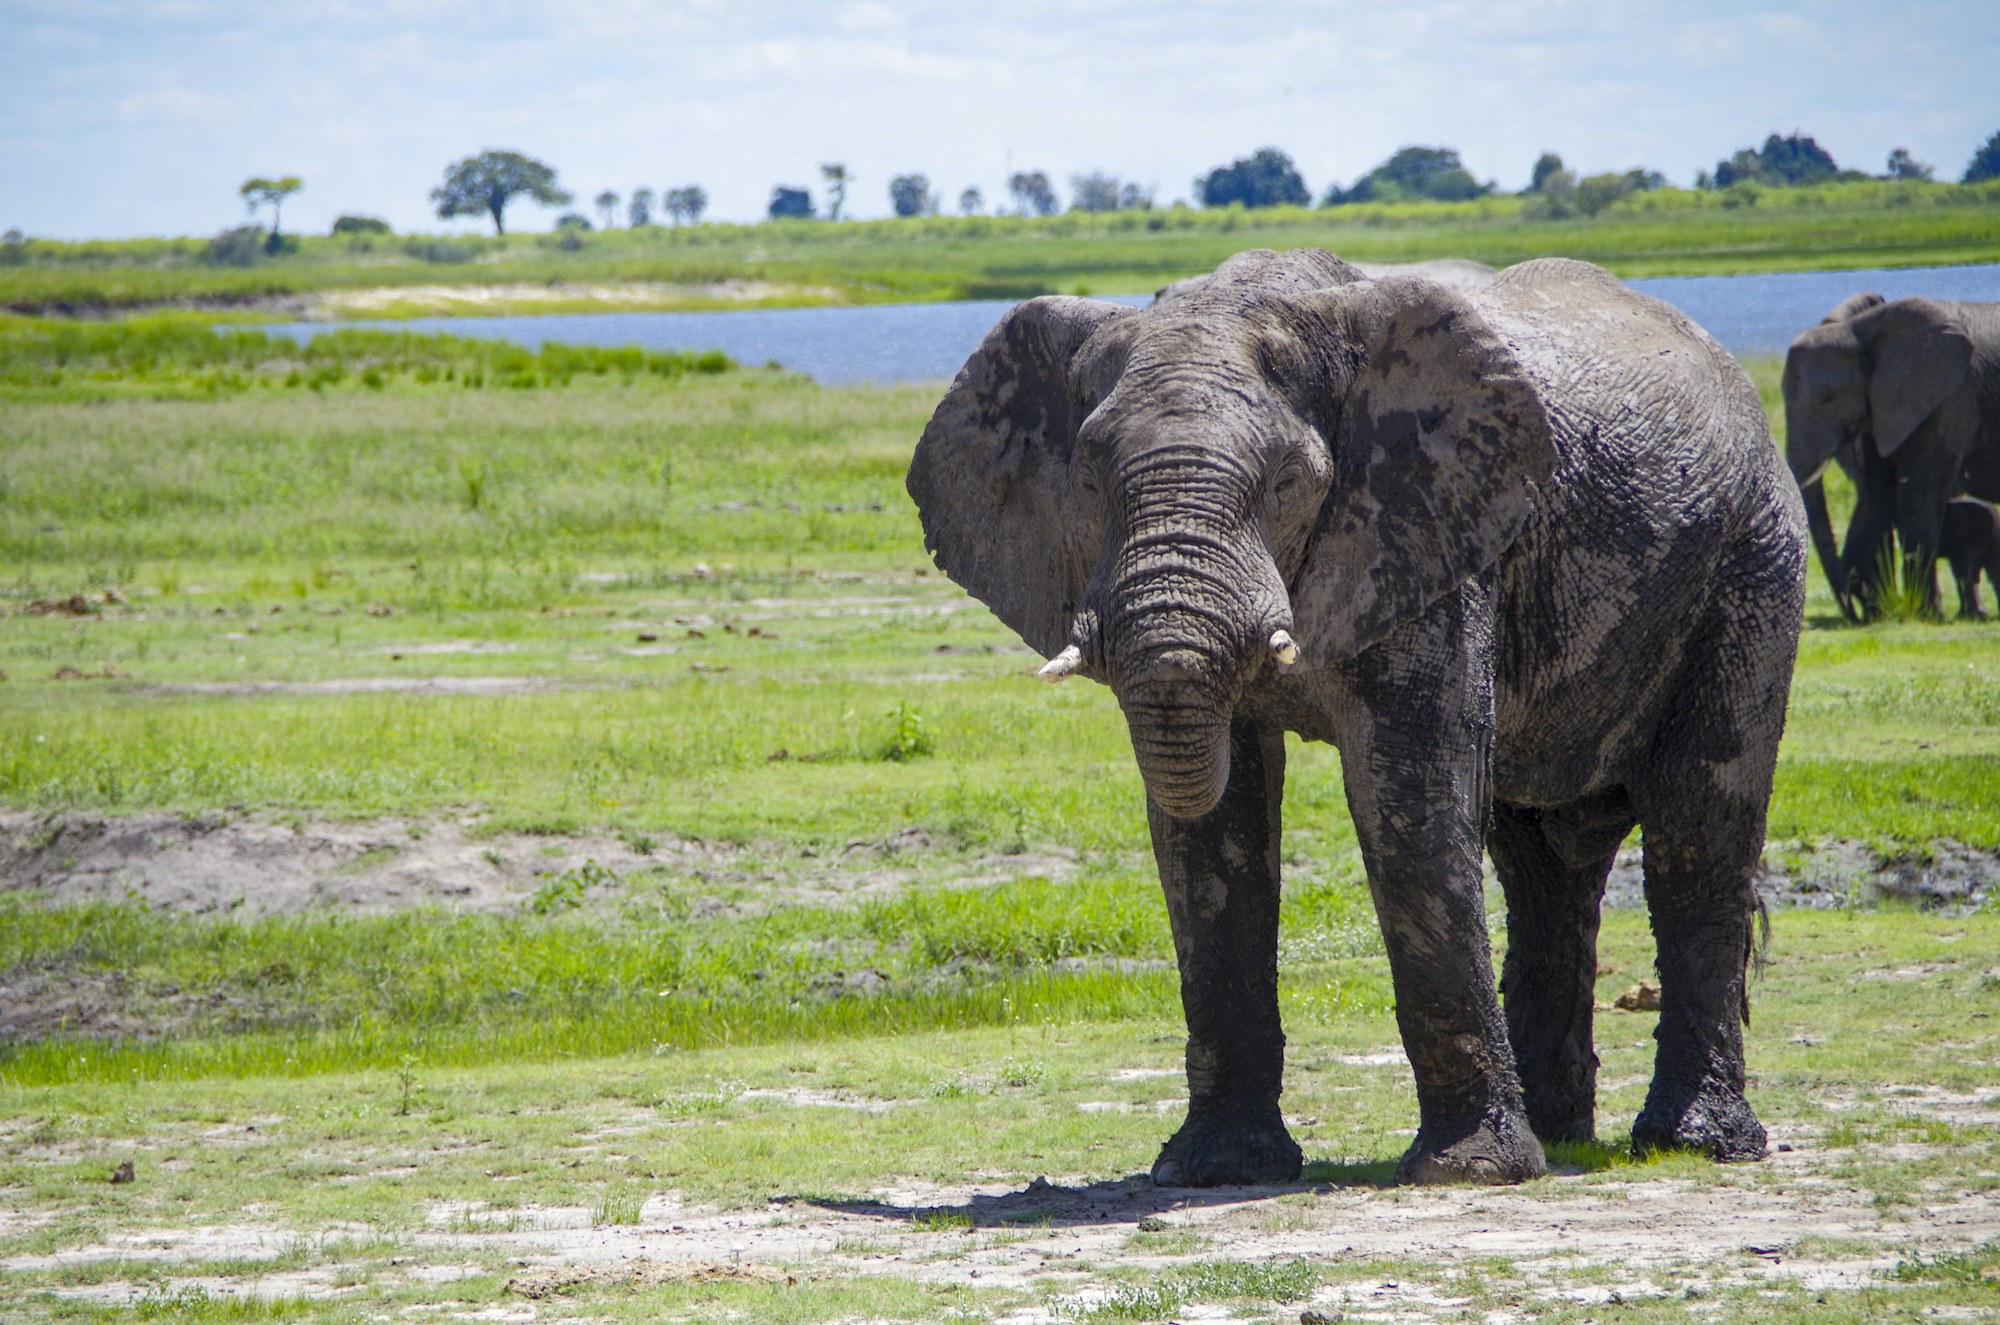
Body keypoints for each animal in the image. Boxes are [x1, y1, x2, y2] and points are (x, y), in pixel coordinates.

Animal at [908, 248, 1806, 1188]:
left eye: (1286, 482)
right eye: (1086, 480)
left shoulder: (1431, 531)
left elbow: (1409, 806)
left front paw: (1466, 1172)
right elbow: (1213, 835)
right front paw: (1217, 1170)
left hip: (1750, 563)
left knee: (1700, 822)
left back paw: (1690, 1143)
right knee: (1545, 859)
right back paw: (1560, 1138)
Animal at [1783, 292, 2000, 619]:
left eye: (1827, 400)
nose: (1852, 618)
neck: (1858, 331)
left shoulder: (1948, 397)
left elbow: (1918, 494)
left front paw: (1926, 614)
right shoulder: (1883, 408)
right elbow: (1879, 495)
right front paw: (1884, 609)